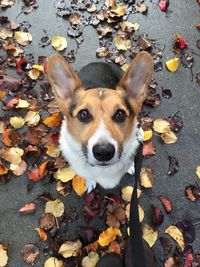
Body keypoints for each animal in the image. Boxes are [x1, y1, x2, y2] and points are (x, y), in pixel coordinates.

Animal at [47, 51, 153, 192]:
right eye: (83, 114)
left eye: (120, 114)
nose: (104, 152)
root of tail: (99, 62)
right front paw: (90, 182)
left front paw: (130, 165)